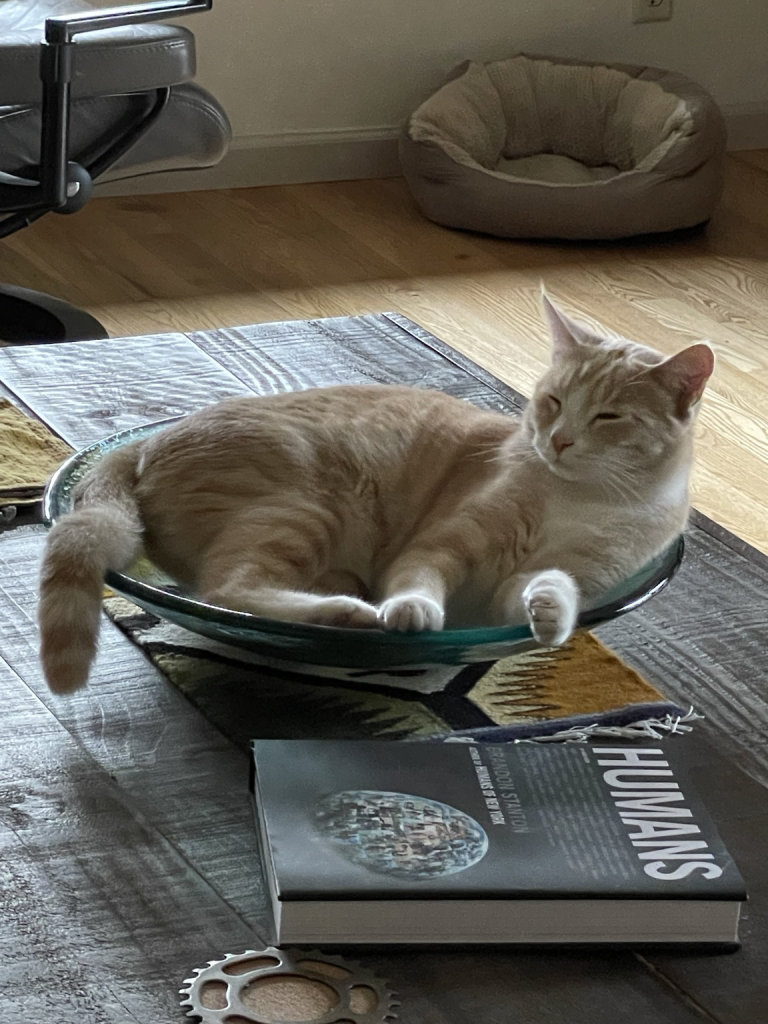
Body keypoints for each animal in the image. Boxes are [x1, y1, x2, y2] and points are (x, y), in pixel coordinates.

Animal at [37, 299, 716, 696]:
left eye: (608, 416)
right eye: (552, 401)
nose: (558, 439)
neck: (580, 498)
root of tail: (147, 443)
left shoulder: (549, 581)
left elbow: (548, 587)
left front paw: (550, 613)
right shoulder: (445, 540)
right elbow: (417, 580)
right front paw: (411, 612)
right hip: (307, 510)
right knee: (227, 589)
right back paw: (352, 615)